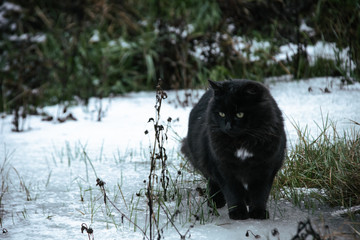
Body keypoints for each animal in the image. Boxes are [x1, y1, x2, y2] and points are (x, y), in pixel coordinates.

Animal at [181, 79, 286, 219]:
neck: (242, 143)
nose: (228, 126)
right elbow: (233, 192)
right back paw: (216, 201)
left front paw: (258, 212)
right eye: (221, 114)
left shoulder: (266, 168)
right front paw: (238, 213)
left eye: (239, 114)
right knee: (212, 182)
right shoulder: (223, 168)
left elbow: (260, 193)